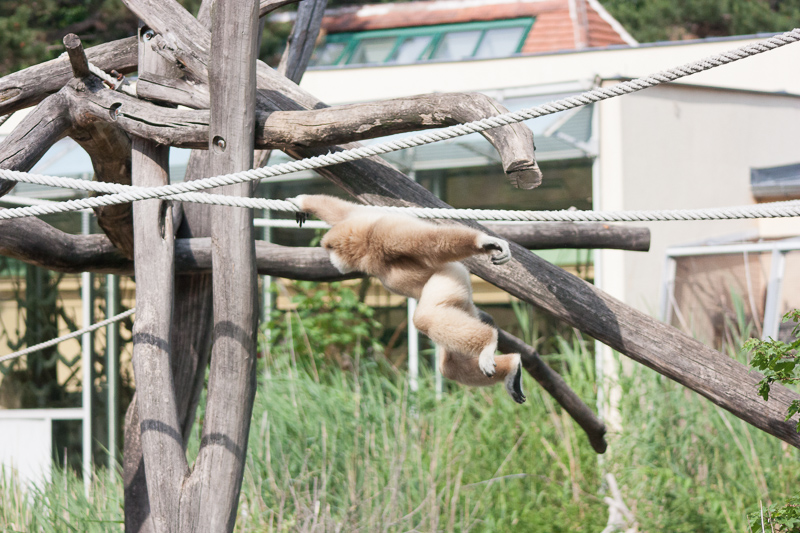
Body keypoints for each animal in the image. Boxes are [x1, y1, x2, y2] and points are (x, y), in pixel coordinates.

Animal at [288, 194, 525, 404]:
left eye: (330, 250)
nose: (329, 259)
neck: (368, 245)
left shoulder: (384, 233)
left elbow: (431, 240)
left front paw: (484, 242)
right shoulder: (362, 219)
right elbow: (340, 210)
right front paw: (301, 201)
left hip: (449, 279)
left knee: (426, 317)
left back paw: (489, 343)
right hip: (462, 302)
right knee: (450, 365)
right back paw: (512, 367)